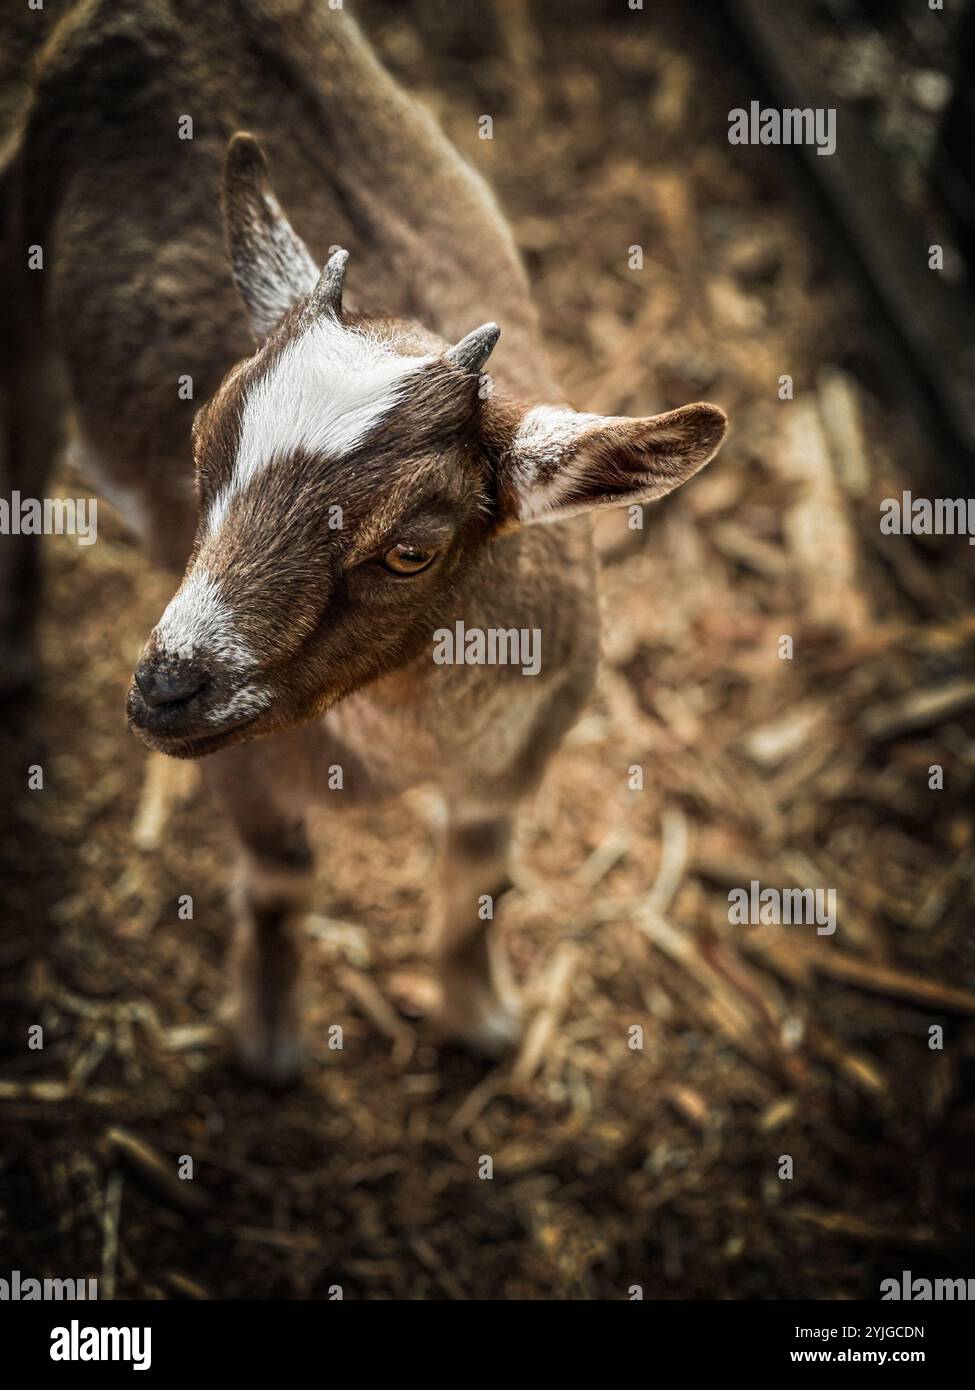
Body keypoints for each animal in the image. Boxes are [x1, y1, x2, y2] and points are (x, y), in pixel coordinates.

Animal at [6, 1, 726, 1081]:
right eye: (200, 447)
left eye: (410, 550)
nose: (164, 689)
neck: (408, 740)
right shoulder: (241, 769)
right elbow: (280, 884)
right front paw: (268, 1039)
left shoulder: (519, 757)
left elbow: (479, 883)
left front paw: (482, 1020)